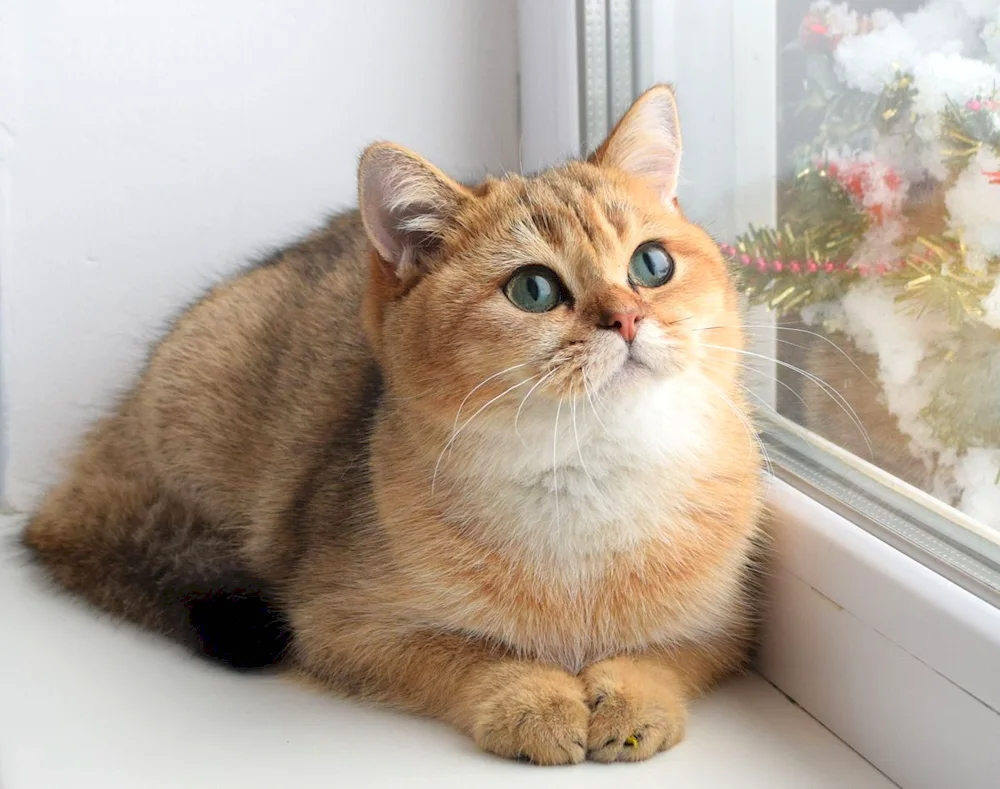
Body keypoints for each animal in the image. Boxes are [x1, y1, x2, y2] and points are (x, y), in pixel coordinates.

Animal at [25, 86, 764, 764]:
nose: (627, 318)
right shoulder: (338, 624)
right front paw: (532, 699)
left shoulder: (727, 623)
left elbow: (667, 653)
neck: (590, 476)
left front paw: (635, 700)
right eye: (532, 289)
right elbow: (462, 654)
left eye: (652, 264)